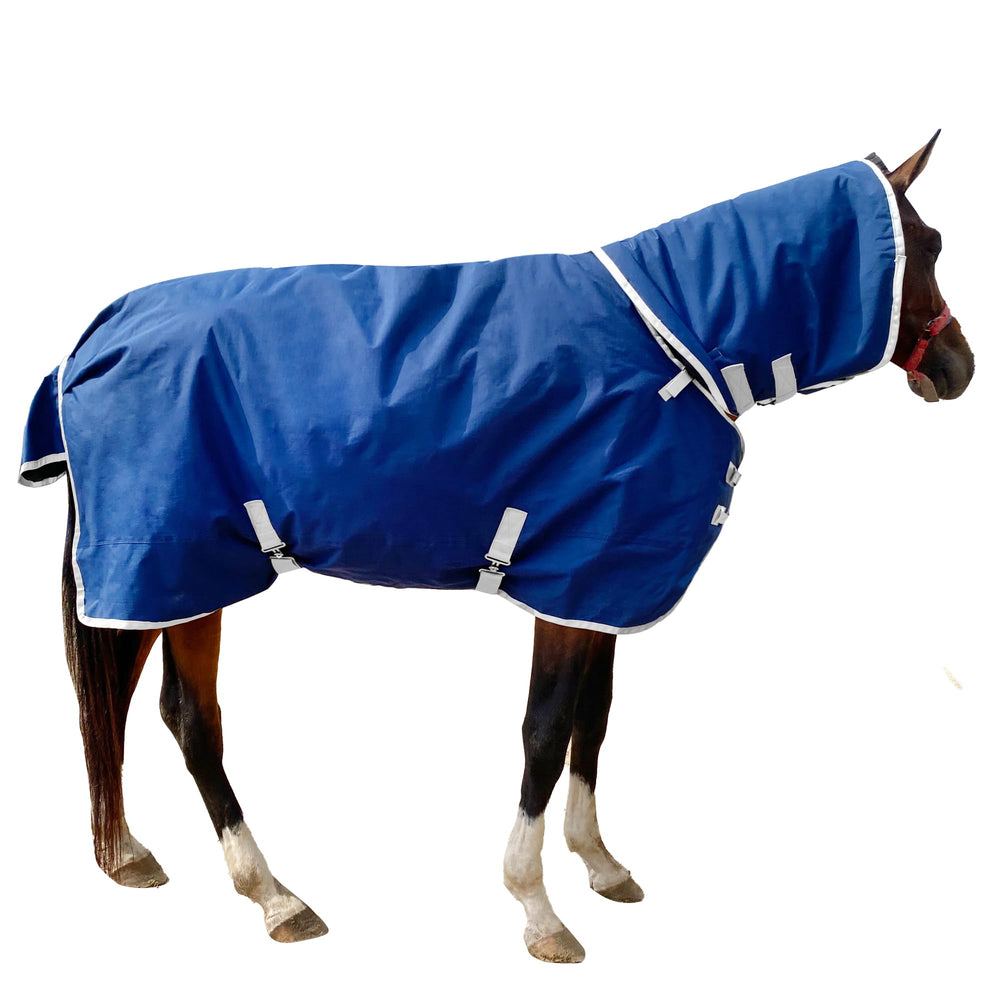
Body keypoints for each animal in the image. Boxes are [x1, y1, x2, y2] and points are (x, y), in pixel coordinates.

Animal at [19, 133, 974, 962]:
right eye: (925, 245)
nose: (958, 369)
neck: (666, 339)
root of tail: (98, 333)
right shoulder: (574, 581)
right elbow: (546, 731)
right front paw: (538, 911)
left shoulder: (602, 585)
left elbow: (595, 719)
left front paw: (601, 865)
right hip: (177, 563)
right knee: (190, 718)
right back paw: (276, 896)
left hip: (159, 575)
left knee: (119, 700)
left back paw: (129, 854)